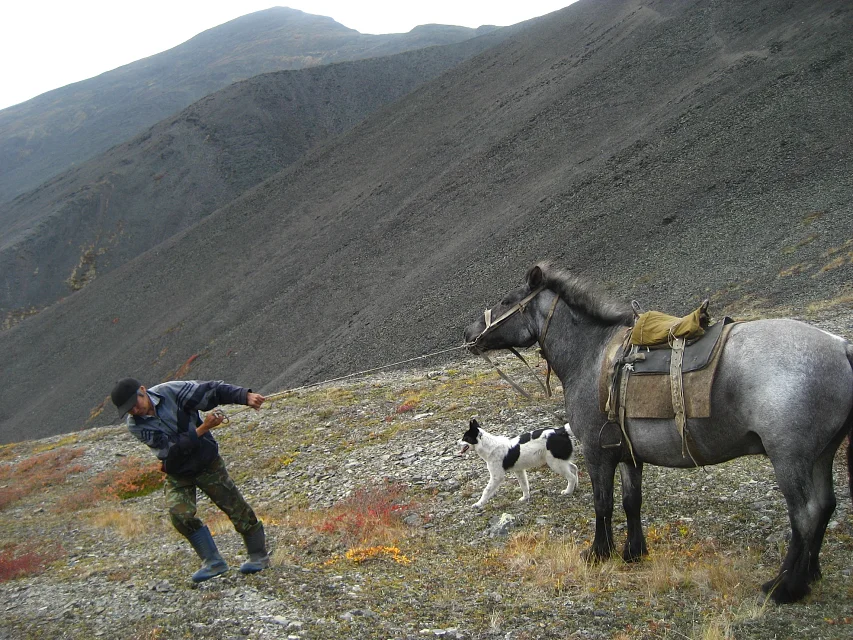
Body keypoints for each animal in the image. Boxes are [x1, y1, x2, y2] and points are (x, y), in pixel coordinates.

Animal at [466, 262, 852, 604]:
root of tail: (840, 346)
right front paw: (633, 552)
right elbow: (631, 502)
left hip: (790, 458)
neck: (592, 354)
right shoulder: (626, 453)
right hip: (822, 455)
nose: (469, 334)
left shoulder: (596, 453)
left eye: (506, 301)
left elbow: (602, 504)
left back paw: (786, 586)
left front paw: (598, 553)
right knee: (825, 506)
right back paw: (810, 575)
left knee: (805, 515)